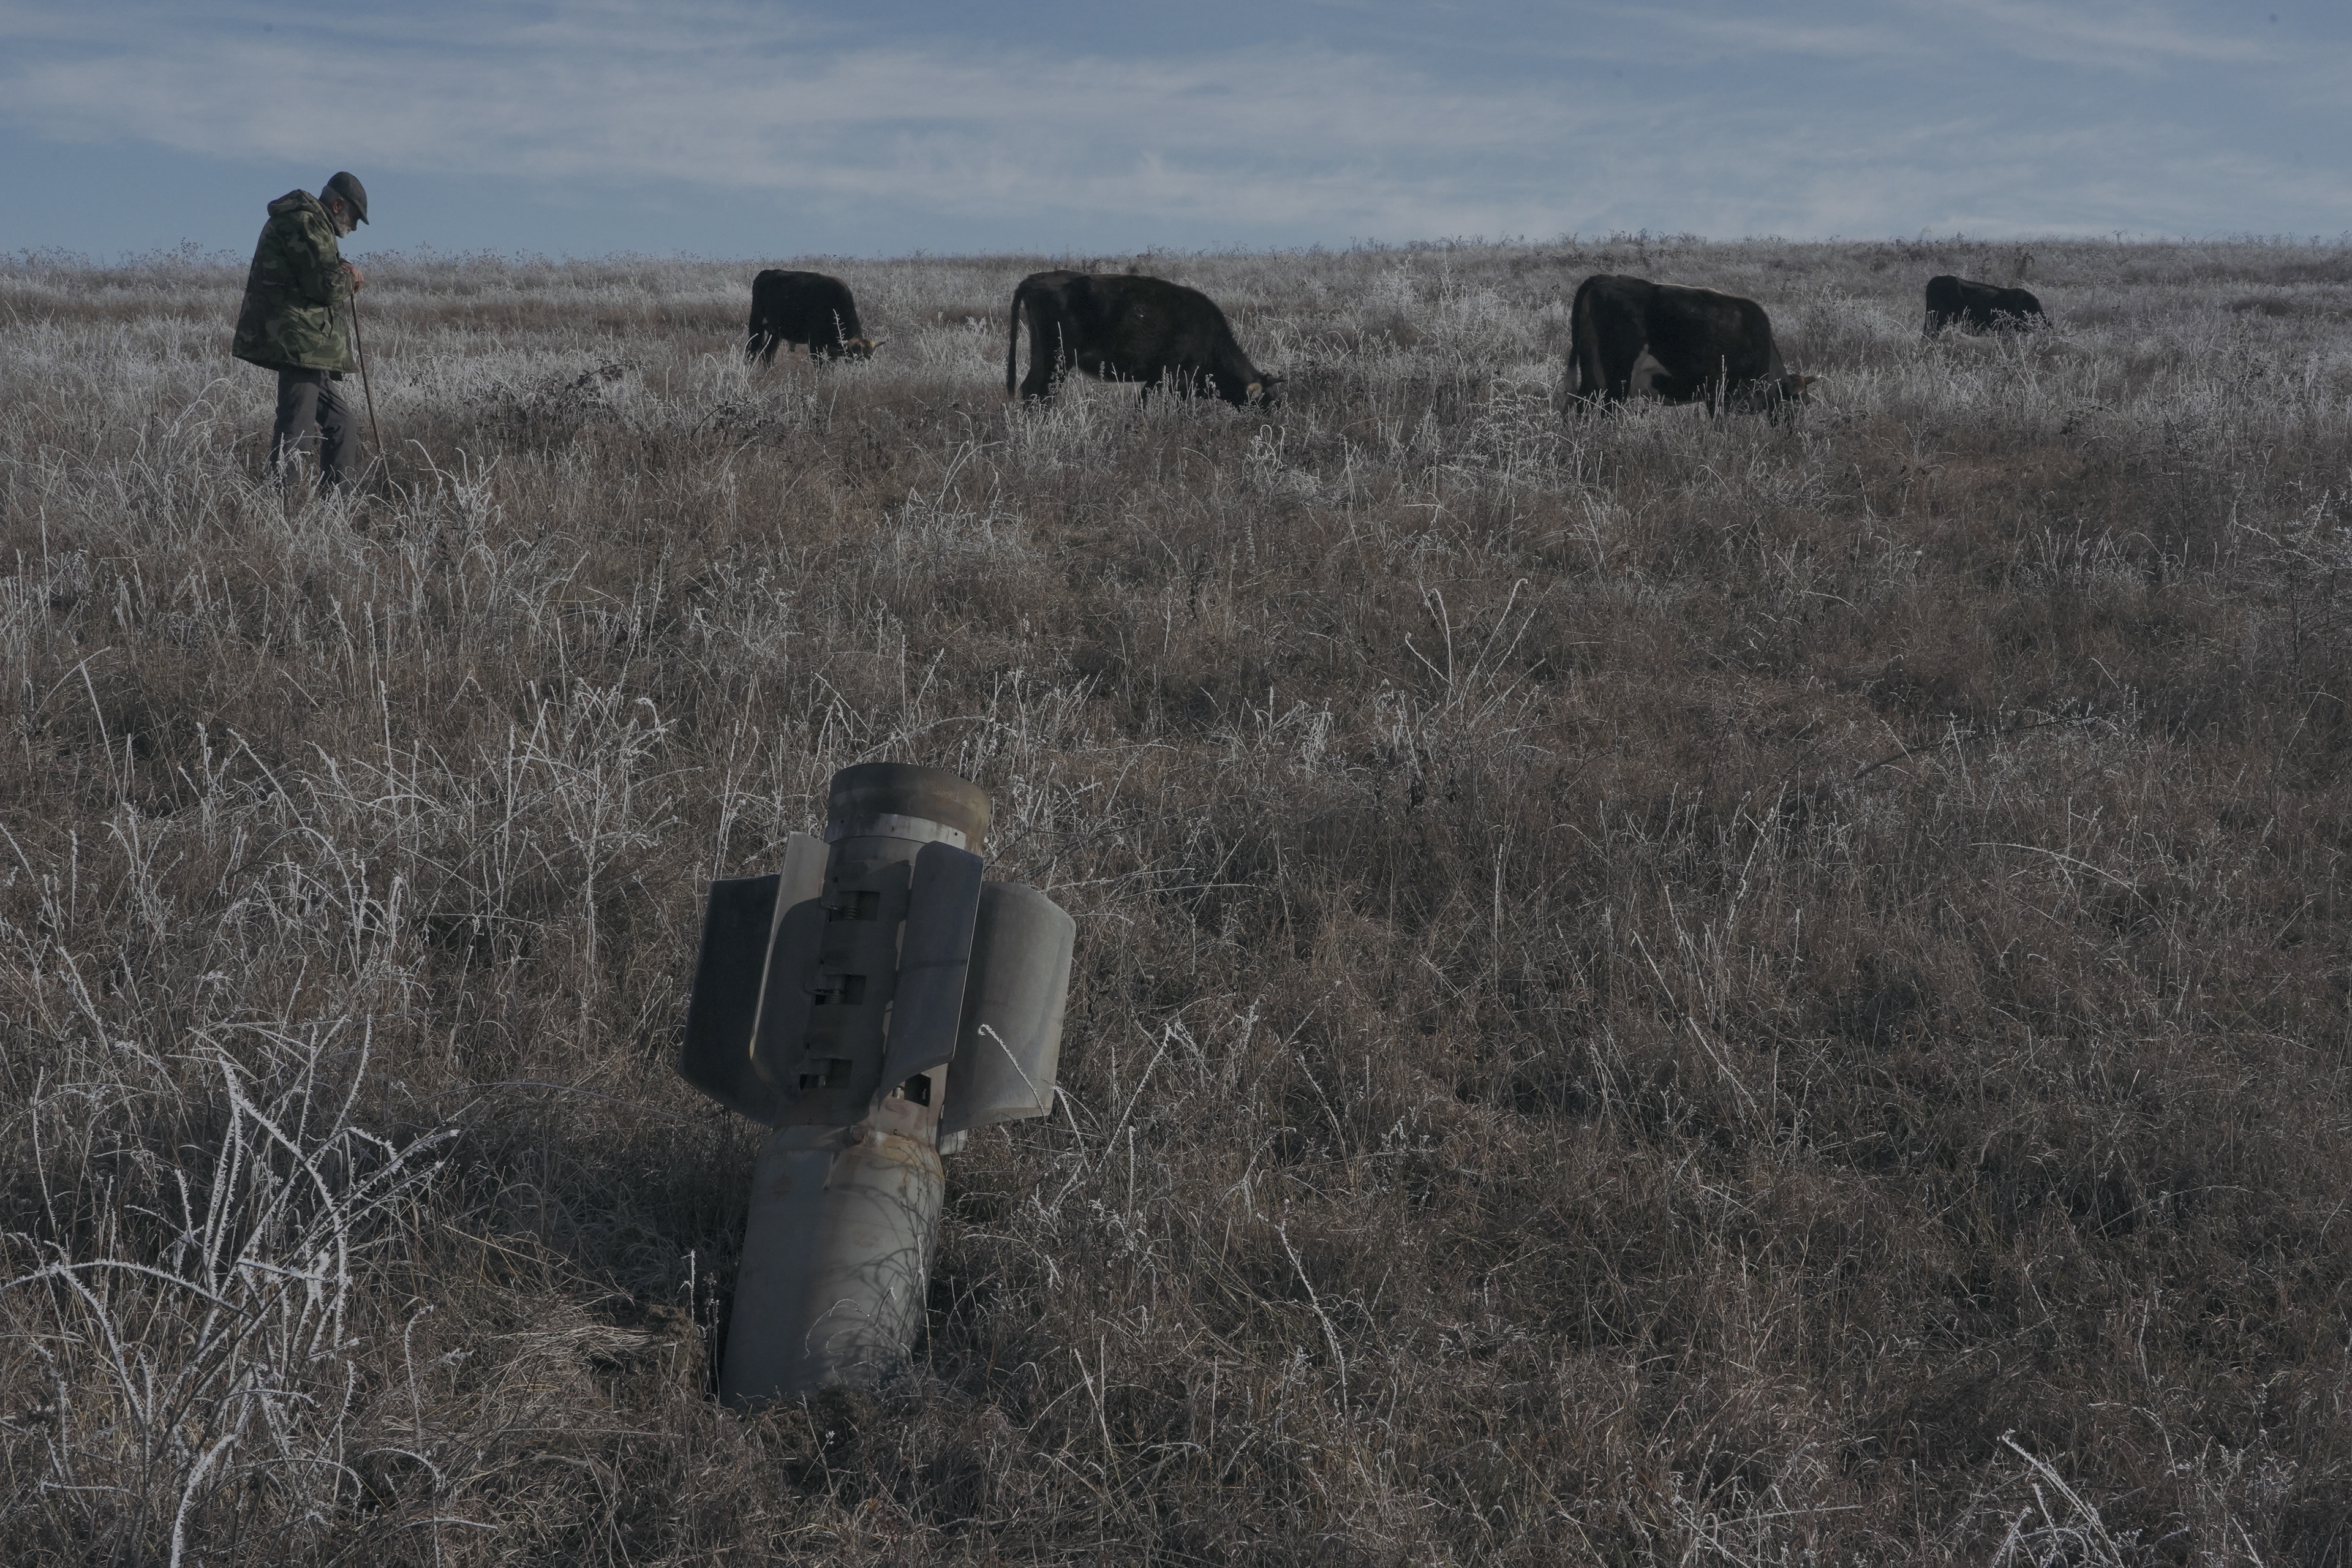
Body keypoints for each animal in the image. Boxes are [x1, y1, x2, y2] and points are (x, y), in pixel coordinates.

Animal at [746, 269, 876, 364]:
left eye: (869, 358)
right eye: (856, 358)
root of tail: (765, 273)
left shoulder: (832, 349)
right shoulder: (815, 343)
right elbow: (819, 365)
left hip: (775, 333)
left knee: (767, 353)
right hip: (756, 325)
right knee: (751, 350)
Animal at [1006, 270, 1277, 406]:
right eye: (1266, 400)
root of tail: (1033, 279)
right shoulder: (1166, 378)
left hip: (1041, 355)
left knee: (1029, 389)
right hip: (1059, 359)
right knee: (1042, 393)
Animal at [1568, 274, 1810, 413]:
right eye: (1797, 402)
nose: (1793, 436)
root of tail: (1604, 279)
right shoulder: (1719, 392)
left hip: (1592, 373)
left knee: (1579, 404)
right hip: (1617, 378)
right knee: (1606, 409)